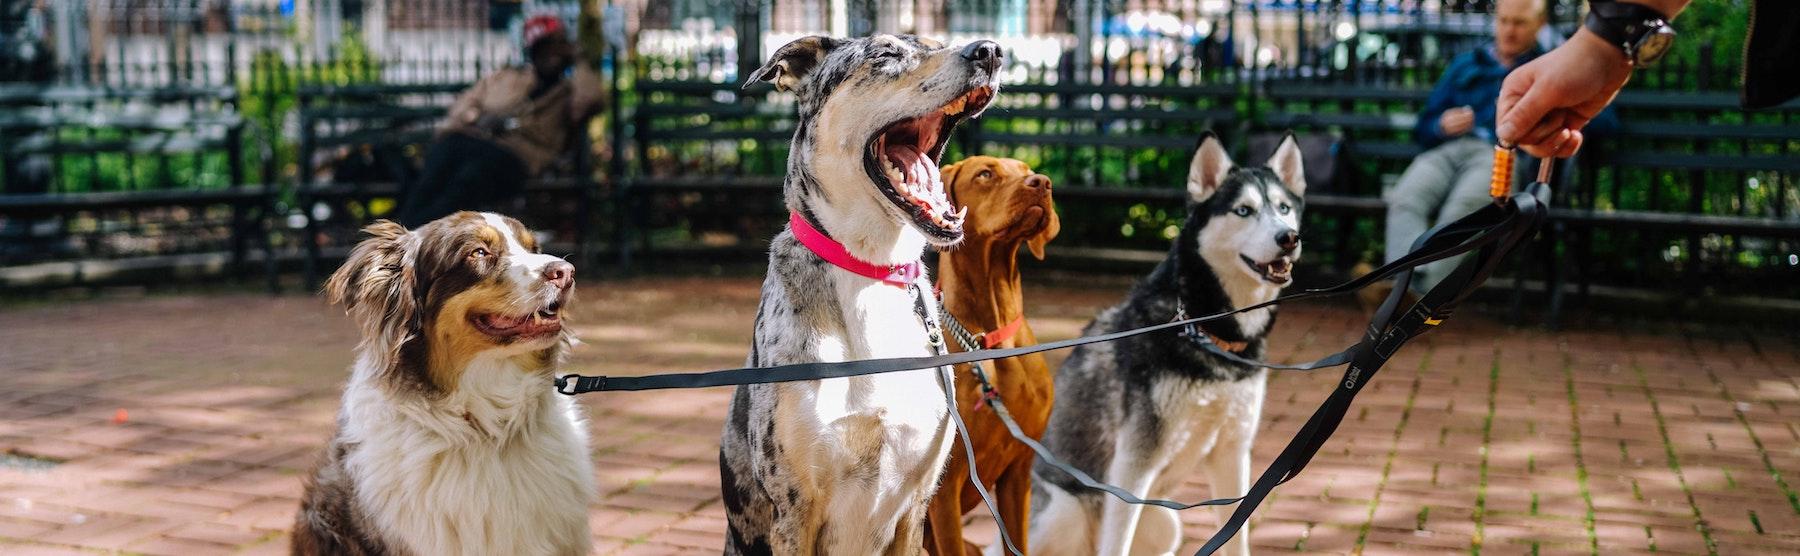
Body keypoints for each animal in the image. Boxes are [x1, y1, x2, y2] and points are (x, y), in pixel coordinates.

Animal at [921, 155, 1058, 554]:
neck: (990, 338)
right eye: (985, 174)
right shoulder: (945, 490)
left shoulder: (1019, 470)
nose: (1041, 182)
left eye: (1027, 170)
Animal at [1022, 134, 1303, 554]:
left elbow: (1236, 537)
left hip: (1165, 524)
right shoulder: (1133, 462)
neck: (1203, 328)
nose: (1288, 237)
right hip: (1064, 513)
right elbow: (1116, 544)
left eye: (1284, 208)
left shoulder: (1233, 452)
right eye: (1243, 210)